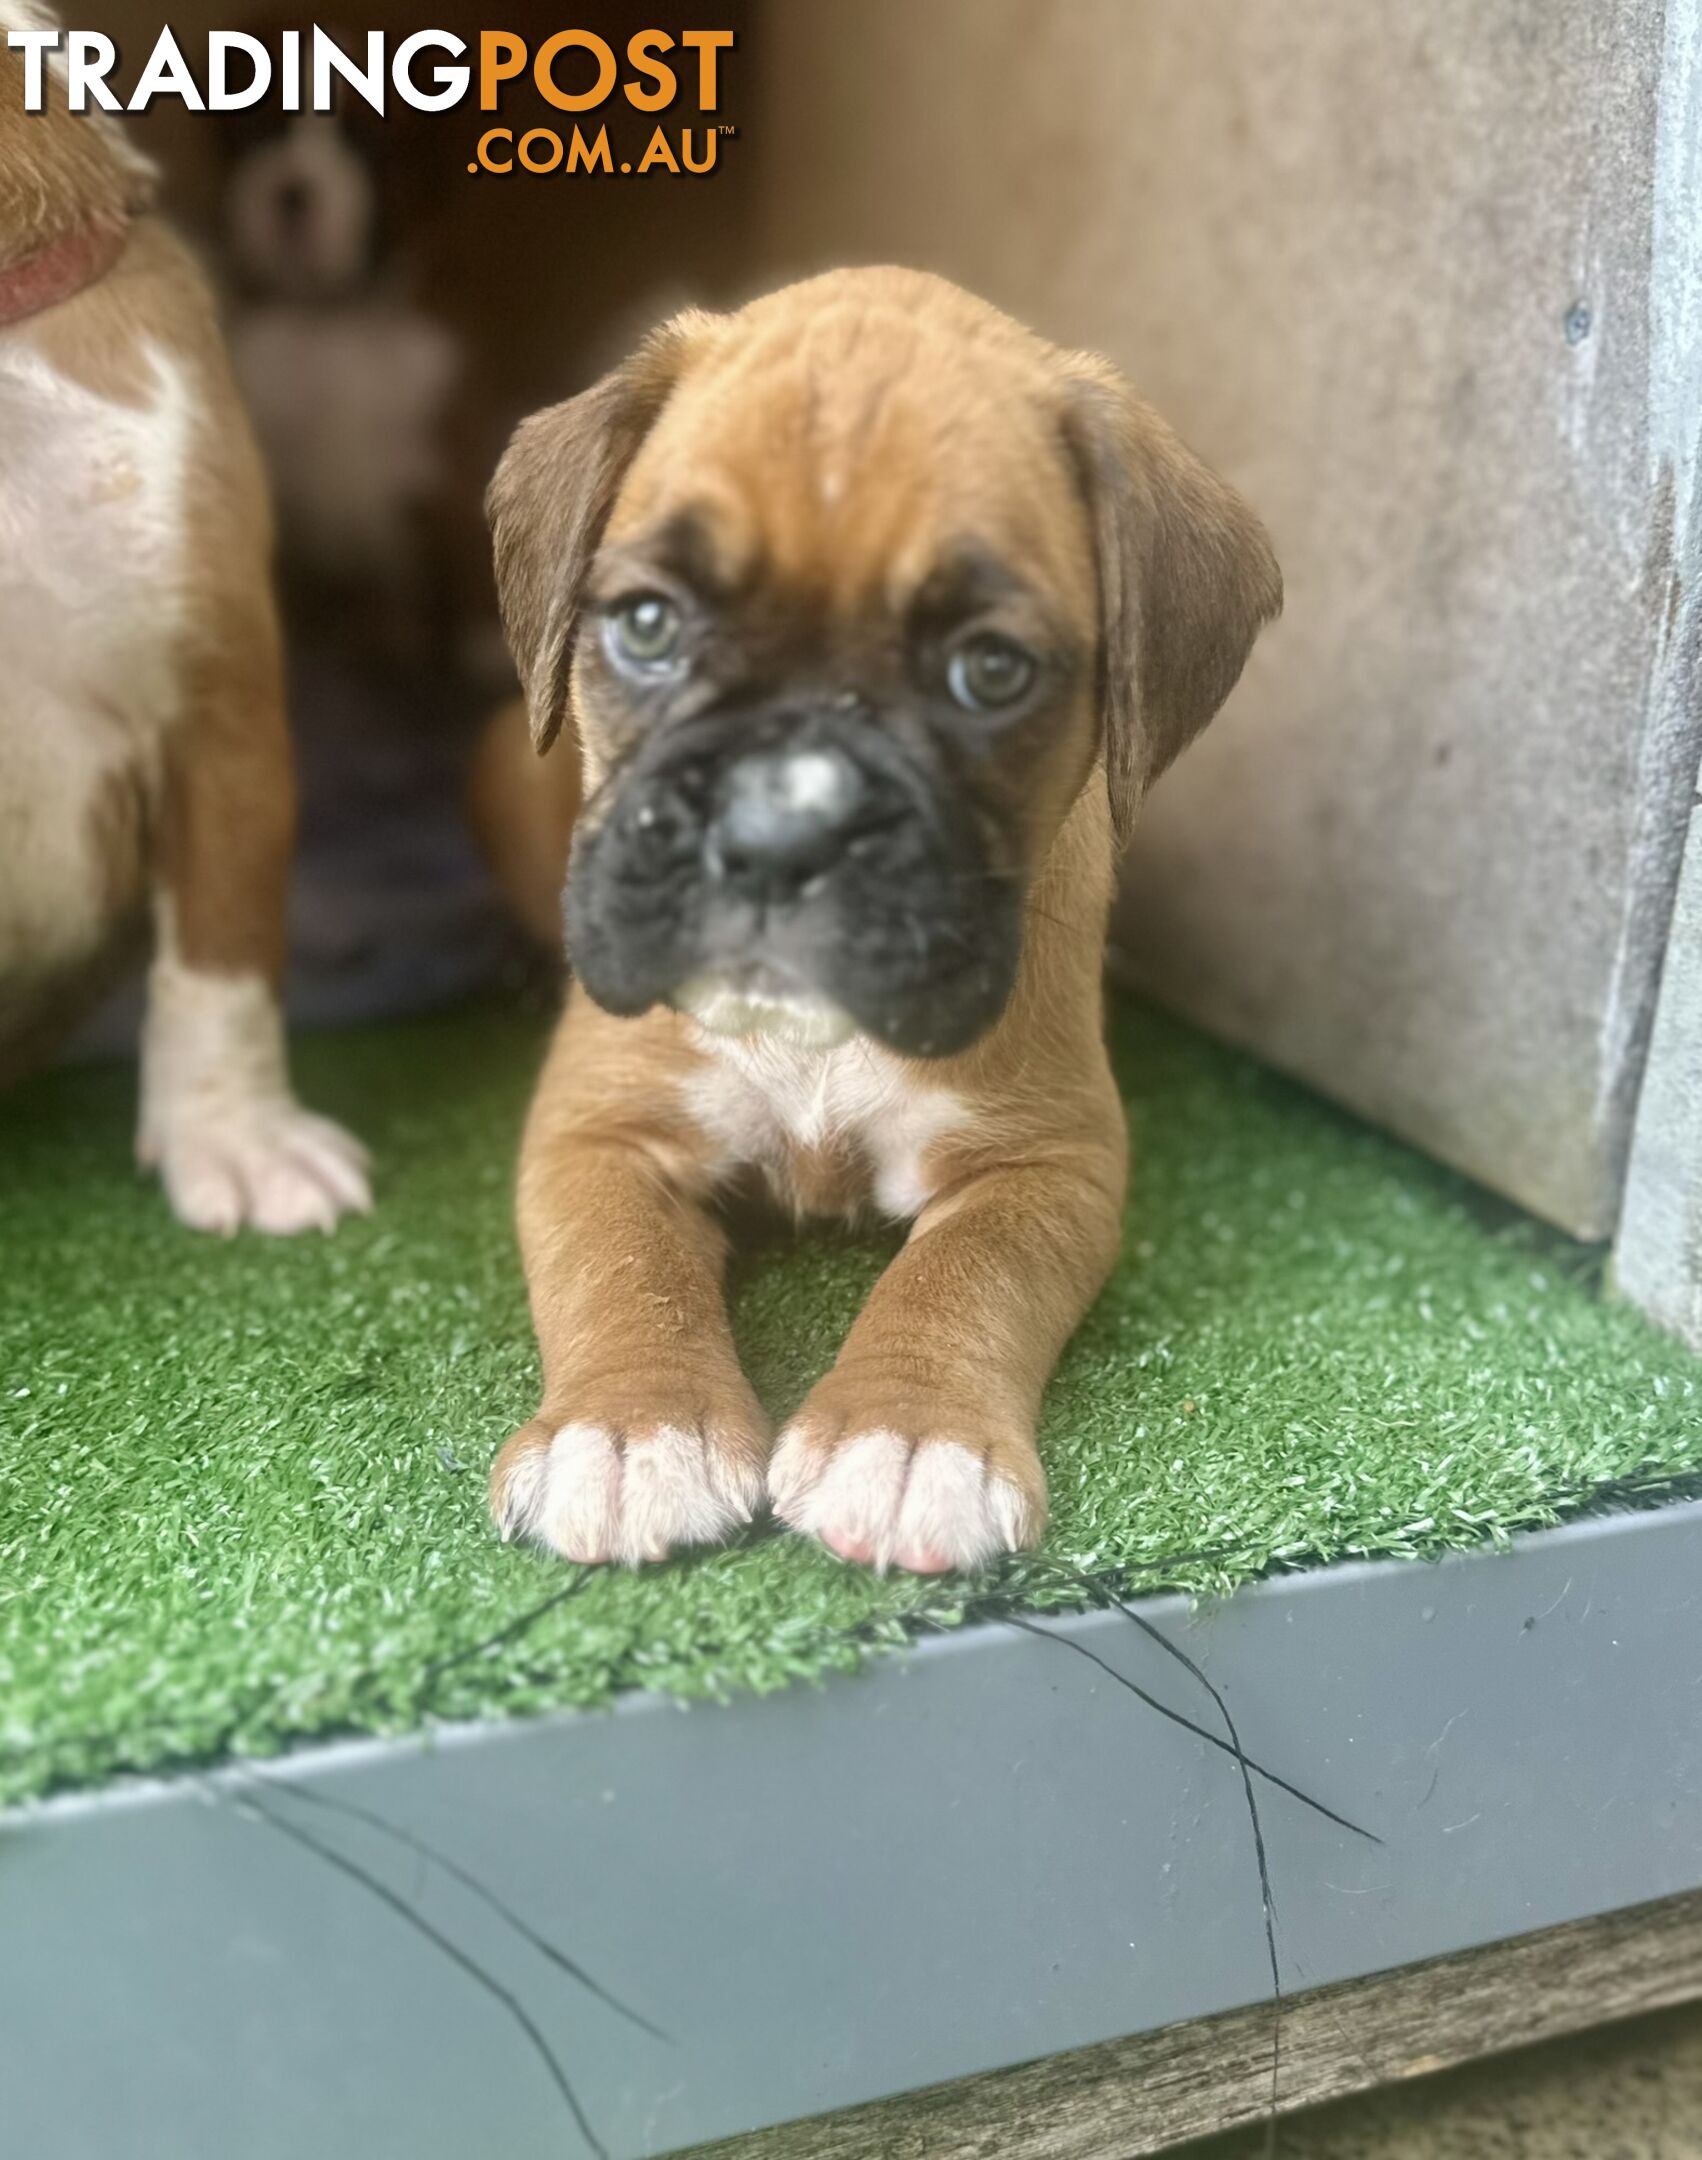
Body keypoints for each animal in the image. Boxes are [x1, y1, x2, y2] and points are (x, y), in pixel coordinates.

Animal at [481, 274, 1278, 1589]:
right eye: (646, 625)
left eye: (990, 672)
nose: (777, 829)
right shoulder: (597, 1134)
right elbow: (622, 1268)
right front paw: (632, 1433)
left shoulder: (1048, 1161)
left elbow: (965, 1276)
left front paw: (906, 1442)